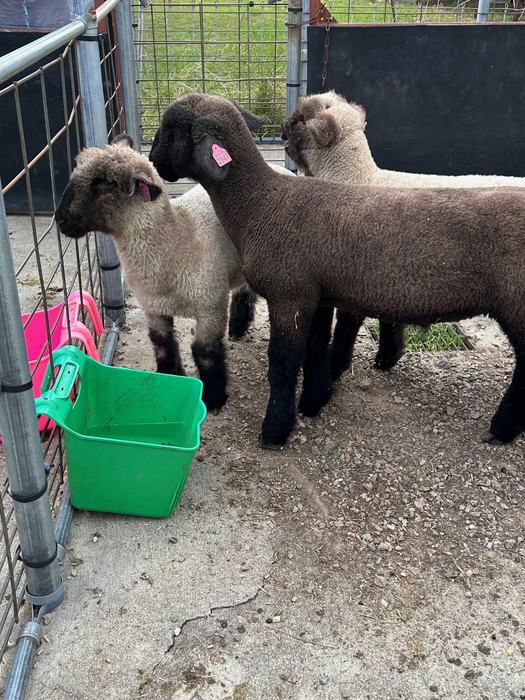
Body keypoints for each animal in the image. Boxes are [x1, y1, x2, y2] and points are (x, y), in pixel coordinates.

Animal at [55, 134, 289, 411]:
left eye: (106, 184)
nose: (60, 219)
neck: (176, 237)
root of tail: (278, 167)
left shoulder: (210, 306)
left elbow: (205, 351)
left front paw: (214, 398)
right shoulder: (153, 306)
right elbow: (162, 343)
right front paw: (171, 378)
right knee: (243, 289)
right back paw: (238, 327)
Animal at [149, 93, 525, 449]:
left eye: (171, 130)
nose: (153, 161)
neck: (261, 203)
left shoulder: (289, 294)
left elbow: (284, 363)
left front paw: (276, 429)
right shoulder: (319, 295)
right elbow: (316, 348)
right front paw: (314, 401)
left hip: (517, 304)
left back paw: (501, 430)